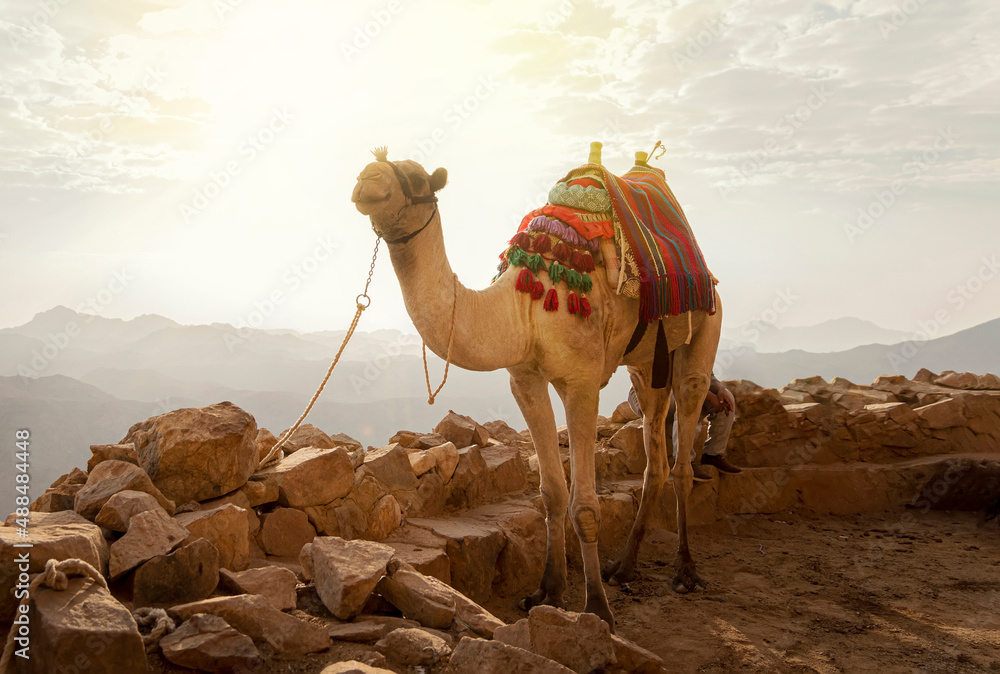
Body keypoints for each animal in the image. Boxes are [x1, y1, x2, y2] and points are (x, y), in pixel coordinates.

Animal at [352, 148, 720, 632]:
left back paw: (685, 572)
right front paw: (548, 592)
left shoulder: (581, 382)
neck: (522, 306)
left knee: (683, 449)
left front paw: (597, 609)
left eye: (413, 178)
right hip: (645, 364)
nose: (365, 179)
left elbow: (584, 506)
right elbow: (551, 493)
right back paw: (623, 567)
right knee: (654, 452)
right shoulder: (524, 378)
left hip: (704, 329)